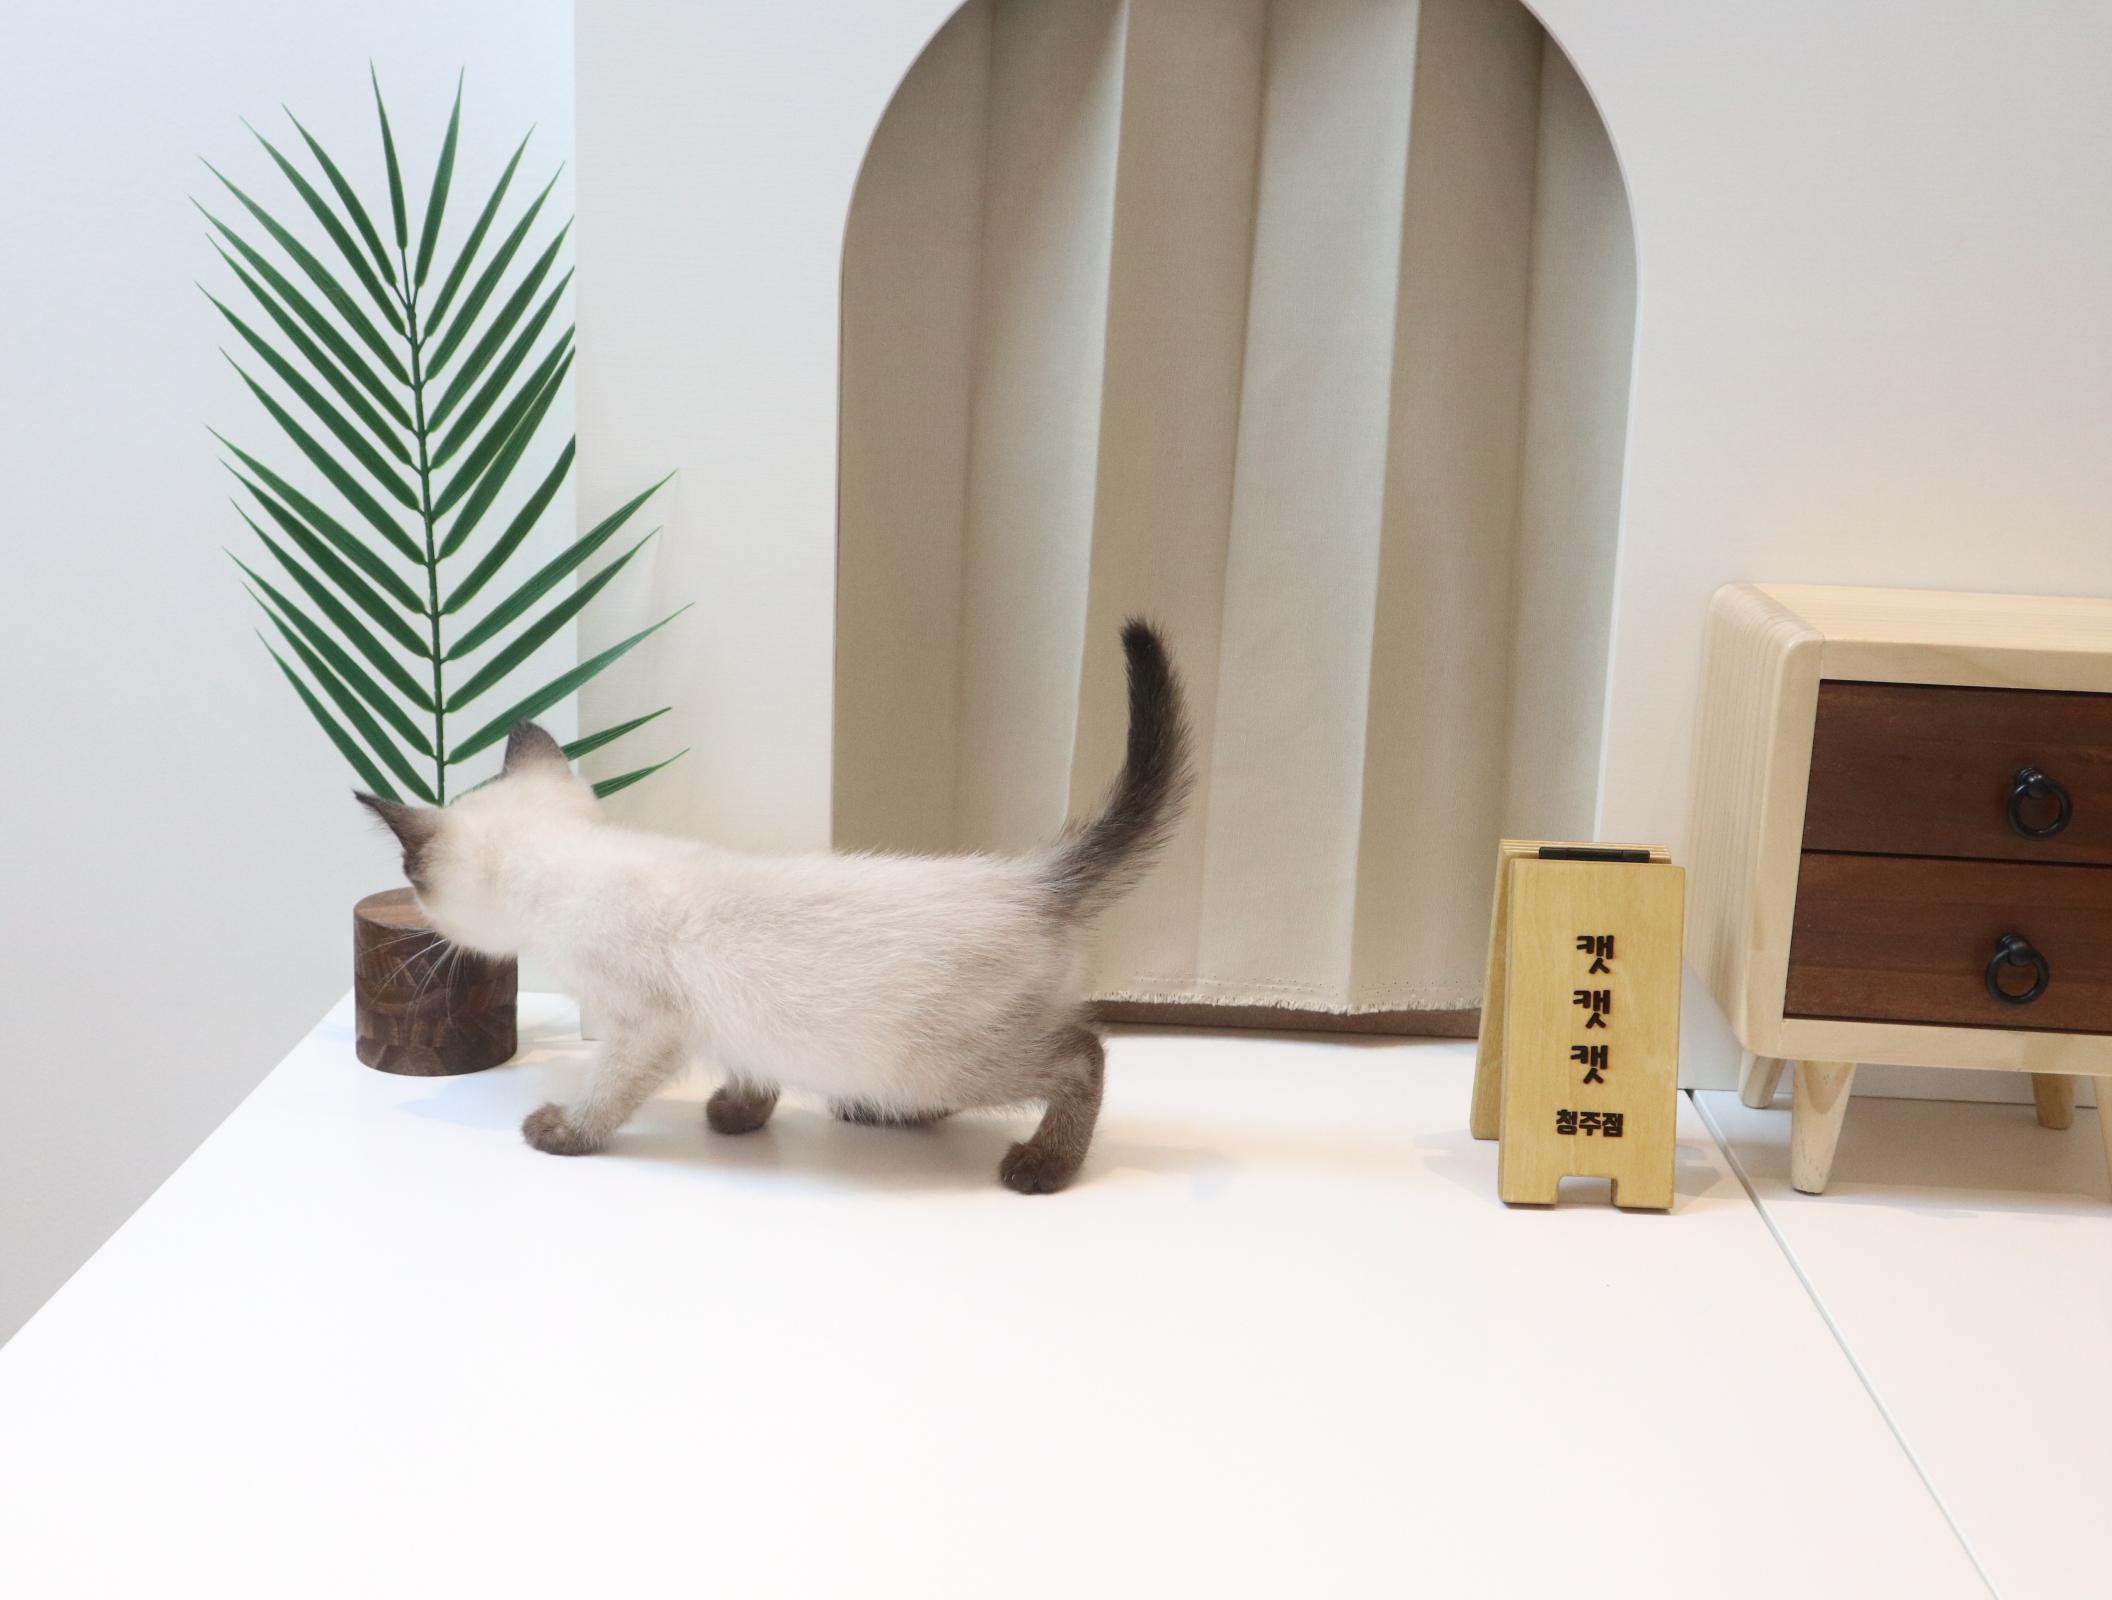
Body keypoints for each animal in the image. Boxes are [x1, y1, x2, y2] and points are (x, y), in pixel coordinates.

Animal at [358, 620, 1189, 1194]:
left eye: (414, 881)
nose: (424, 926)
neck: (570, 867)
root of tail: (1030, 878)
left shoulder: (643, 1027)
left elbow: (605, 1095)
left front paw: (562, 1131)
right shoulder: (727, 1020)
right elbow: (752, 1073)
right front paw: (736, 1116)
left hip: (943, 1059)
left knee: (1084, 1054)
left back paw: (1042, 1166)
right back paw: (877, 1113)